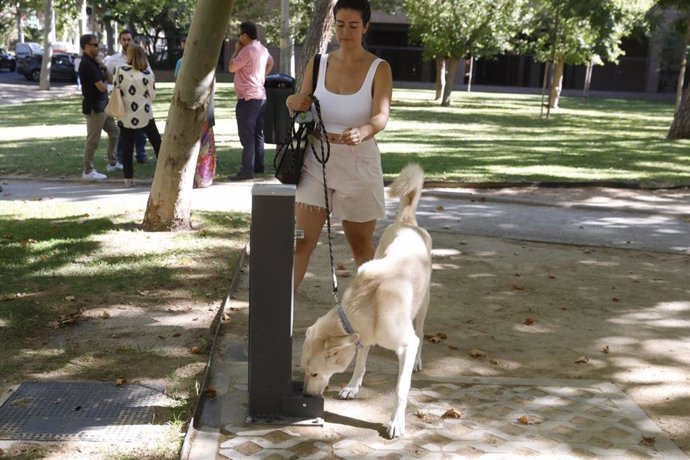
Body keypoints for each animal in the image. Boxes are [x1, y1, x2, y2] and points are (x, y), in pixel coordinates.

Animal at [300, 163, 430, 438]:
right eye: (304, 371)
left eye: (314, 373)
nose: (306, 395)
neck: (364, 305)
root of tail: (406, 222)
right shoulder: (364, 337)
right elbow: (360, 363)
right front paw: (352, 387)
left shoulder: (407, 344)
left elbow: (401, 389)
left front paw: (396, 422)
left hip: (423, 305)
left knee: (422, 332)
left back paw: (418, 361)